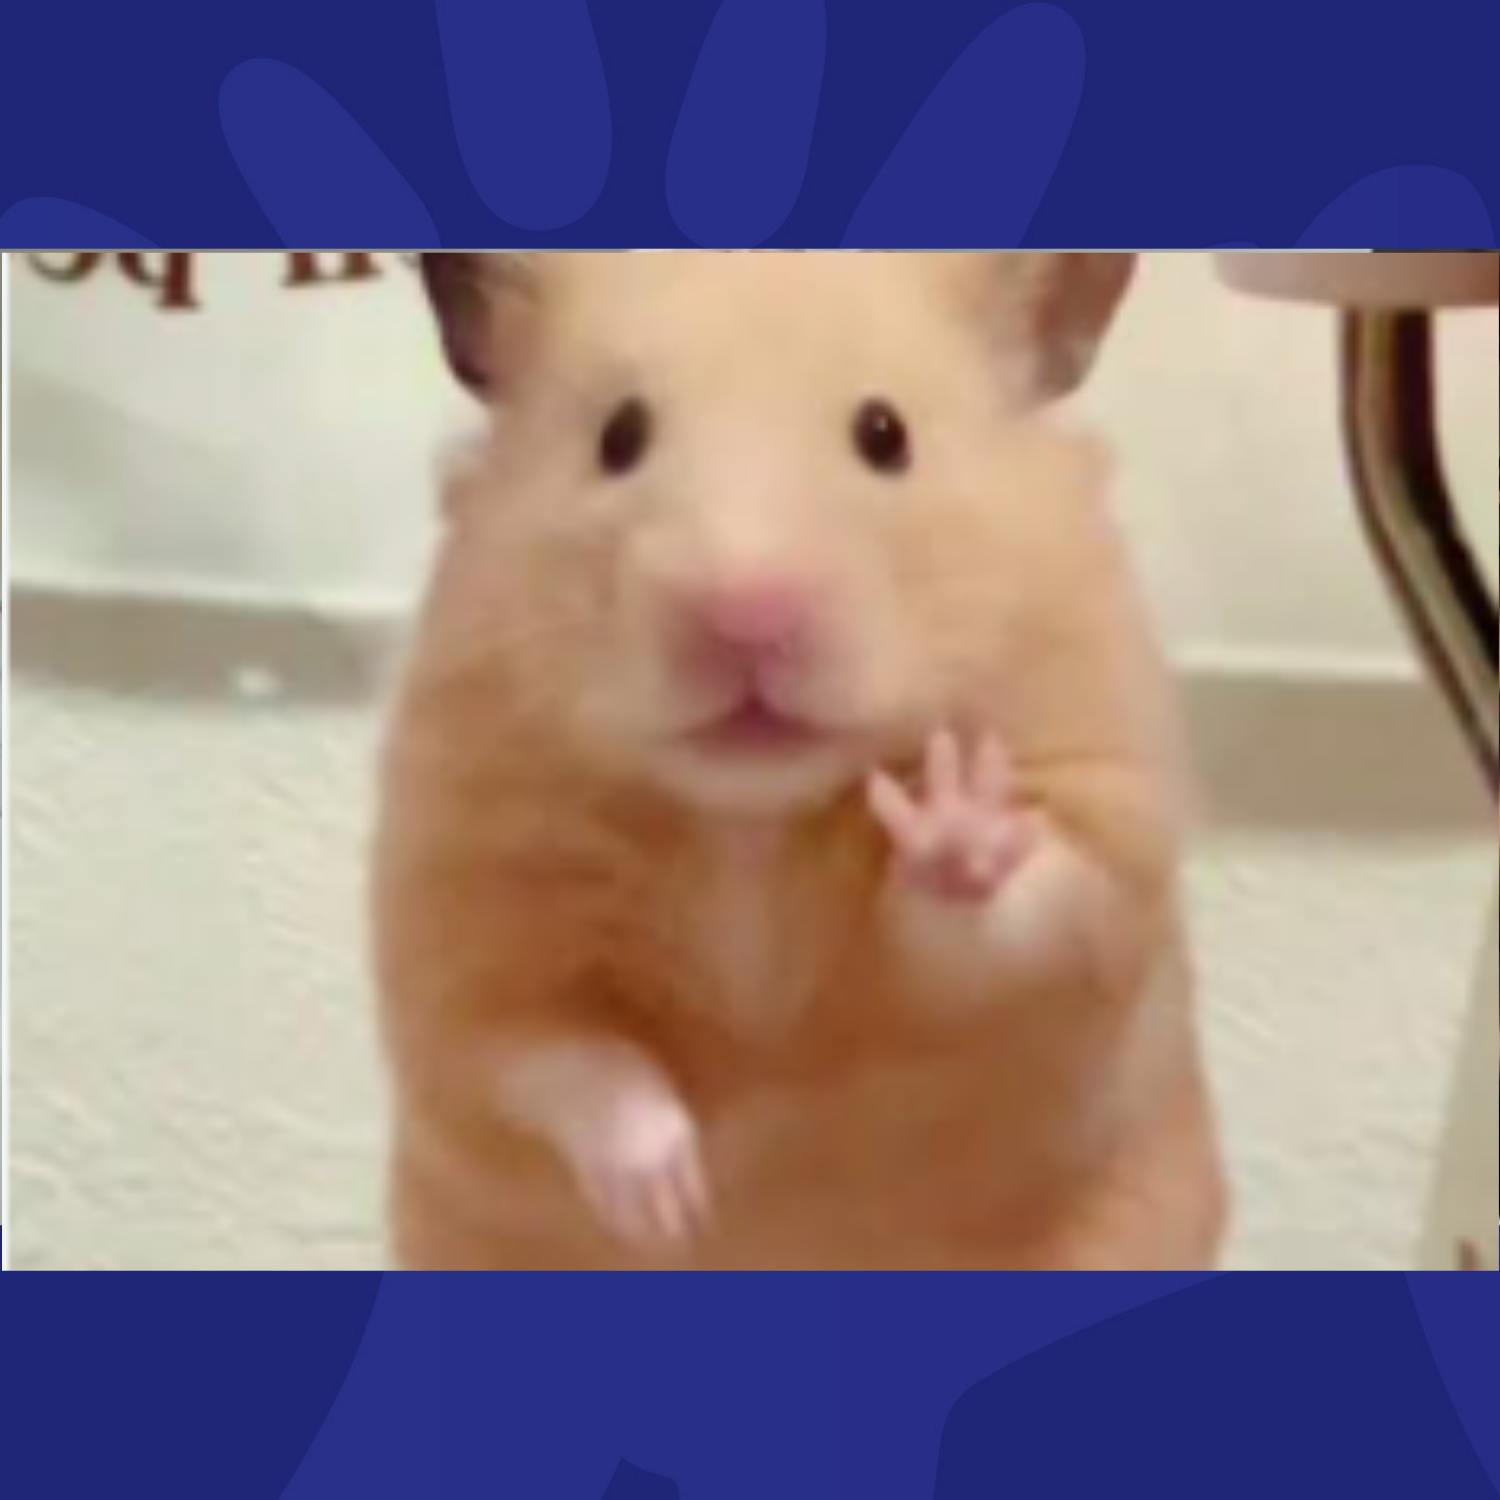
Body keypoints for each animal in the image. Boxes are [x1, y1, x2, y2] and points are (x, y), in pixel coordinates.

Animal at [372, 251, 1226, 1270]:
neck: (751, 817)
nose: (745, 613)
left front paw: (952, 819)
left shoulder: (1096, 841)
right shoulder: (465, 929)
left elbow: (1014, 912)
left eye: (886, 435)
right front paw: (672, 1201)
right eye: (618, 437)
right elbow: (555, 1052)